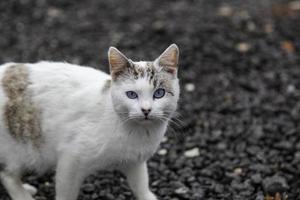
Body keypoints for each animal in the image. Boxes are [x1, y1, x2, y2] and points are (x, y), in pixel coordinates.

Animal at [0, 44, 179, 200]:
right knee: (7, 175)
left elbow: (141, 186)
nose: (146, 110)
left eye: (159, 93)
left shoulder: (135, 162)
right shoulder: (70, 160)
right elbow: (66, 195)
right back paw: (23, 196)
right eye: (131, 95)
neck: (139, 133)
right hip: (23, 151)